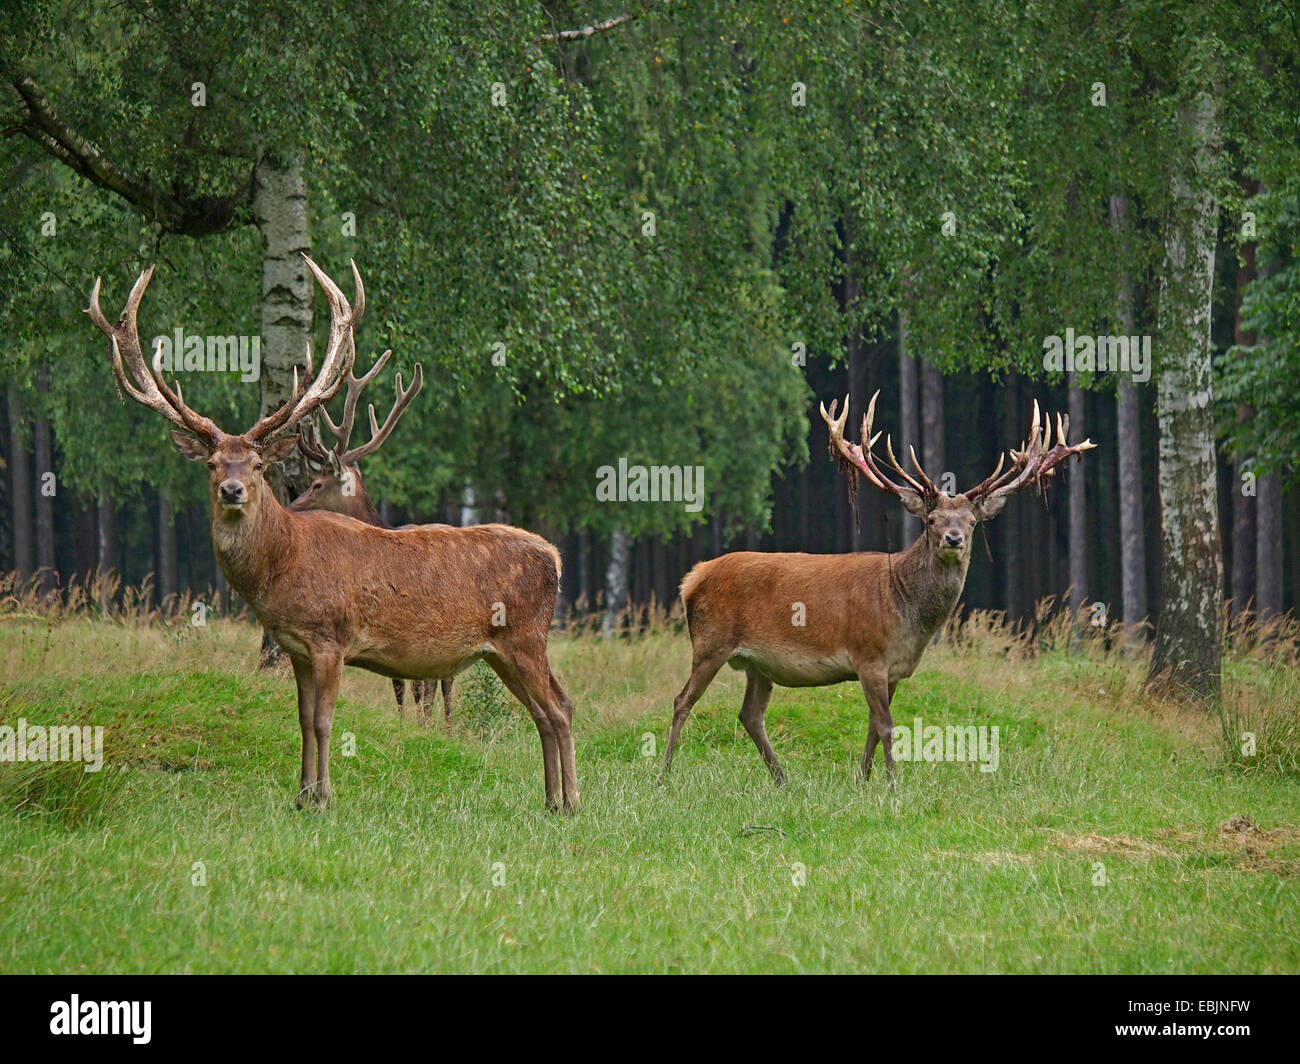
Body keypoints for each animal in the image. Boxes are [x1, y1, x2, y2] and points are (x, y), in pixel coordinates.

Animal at [283, 351, 452, 723]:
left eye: (317, 484)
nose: (290, 506)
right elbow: (399, 685)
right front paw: (404, 724)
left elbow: (420, 686)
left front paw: (421, 727)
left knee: (443, 684)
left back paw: (447, 726)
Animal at [660, 390, 1097, 780]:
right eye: (932, 520)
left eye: (972, 522)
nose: (953, 538)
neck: (905, 612)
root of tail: (691, 578)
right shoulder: (867, 655)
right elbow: (885, 724)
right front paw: (891, 782)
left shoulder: (895, 670)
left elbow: (874, 723)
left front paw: (863, 778)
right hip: (710, 643)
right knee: (682, 700)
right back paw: (664, 775)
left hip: (758, 664)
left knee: (750, 714)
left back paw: (782, 778)